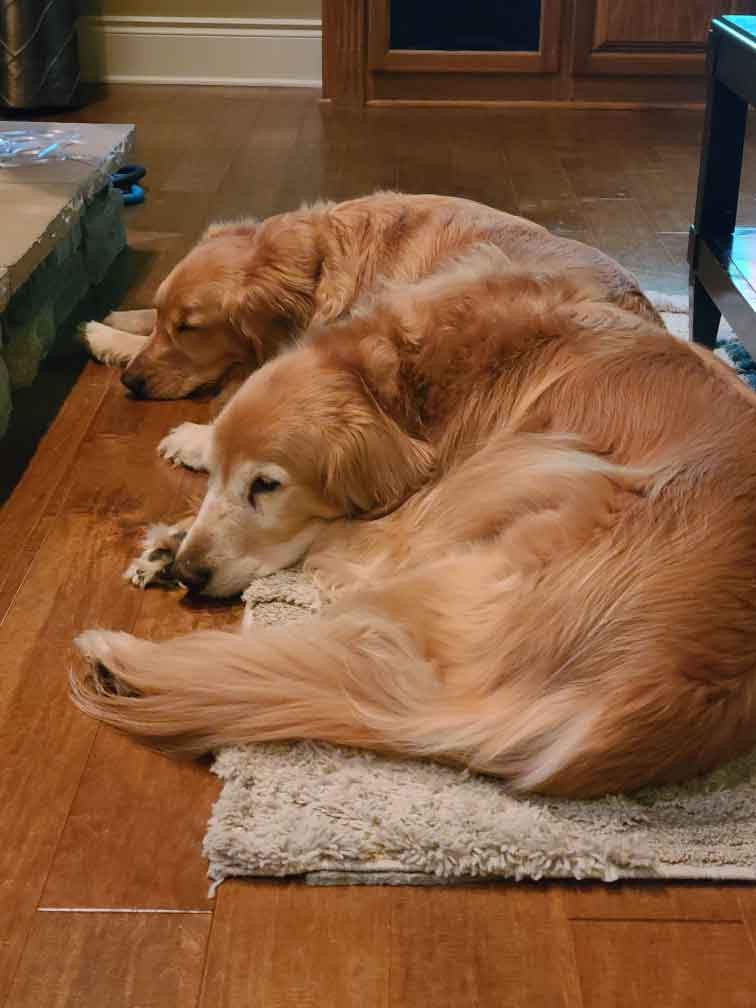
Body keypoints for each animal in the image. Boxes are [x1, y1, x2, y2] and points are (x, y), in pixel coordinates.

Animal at [71, 247, 756, 798]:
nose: (191, 573)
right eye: (219, 475)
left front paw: (177, 535)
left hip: (533, 465)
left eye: (267, 485)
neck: (407, 379)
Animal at [84, 192, 660, 471]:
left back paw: (194, 441)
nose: (131, 384)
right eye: (169, 319)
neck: (319, 262)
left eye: (191, 328)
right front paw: (116, 327)